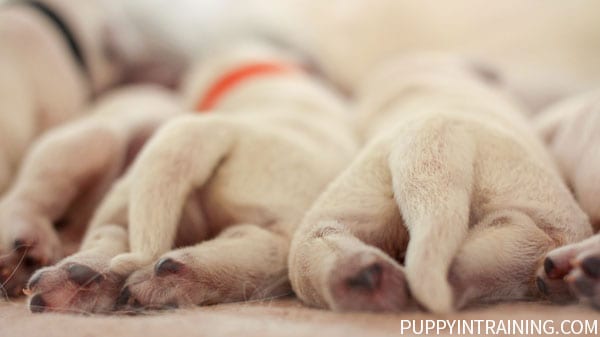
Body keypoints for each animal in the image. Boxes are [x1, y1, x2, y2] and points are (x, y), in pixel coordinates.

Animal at [24, 41, 356, 312]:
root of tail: (217, 127)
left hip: (140, 192)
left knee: (112, 230)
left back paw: (83, 277)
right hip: (276, 215)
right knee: (263, 249)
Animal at [286, 54, 592, 312]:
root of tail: (429, 140)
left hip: (355, 197)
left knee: (319, 242)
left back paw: (371, 279)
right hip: (538, 198)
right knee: (535, 237)